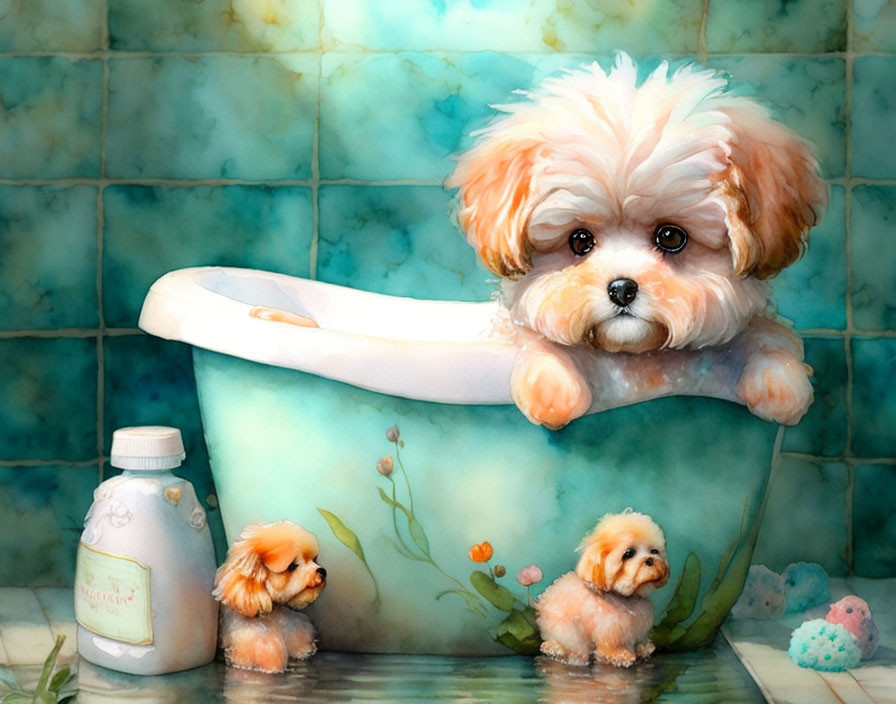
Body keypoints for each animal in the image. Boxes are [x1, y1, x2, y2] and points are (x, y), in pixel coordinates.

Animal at [448, 53, 824, 428]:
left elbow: (764, 336)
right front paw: (551, 385)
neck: (637, 357)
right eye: (580, 241)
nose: (621, 289)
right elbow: (537, 337)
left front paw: (781, 381)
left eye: (671, 237)